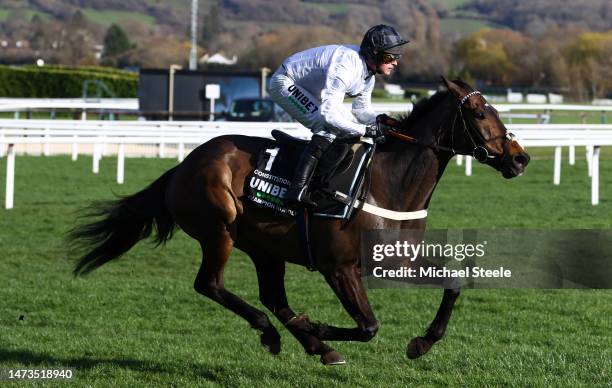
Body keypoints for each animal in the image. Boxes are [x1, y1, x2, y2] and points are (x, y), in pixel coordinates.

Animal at [69, 78, 532, 364]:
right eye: (479, 114)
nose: (520, 158)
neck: (387, 185)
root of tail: (183, 165)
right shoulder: (339, 268)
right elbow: (368, 326)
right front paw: (321, 326)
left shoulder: (398, 259)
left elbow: (453, 284)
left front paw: (421, 343)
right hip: (219, 231)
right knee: (211, 285)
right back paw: (281, 334)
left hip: (264, 247)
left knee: (273, 298)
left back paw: (308, 341)